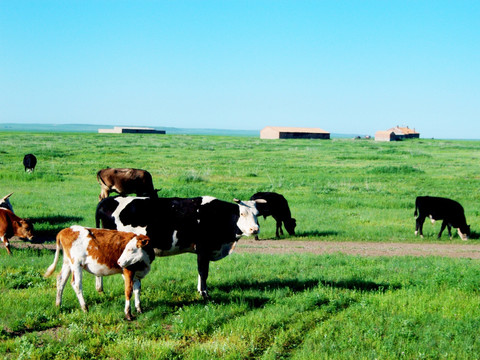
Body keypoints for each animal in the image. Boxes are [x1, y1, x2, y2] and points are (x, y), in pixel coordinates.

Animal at [95, 195, 264, 296]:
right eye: (242, 213)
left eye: (257, 214)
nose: (255, 229)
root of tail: (109, 199)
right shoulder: (203, 248)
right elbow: (203, 272)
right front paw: (204, 294)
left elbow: (201, 272)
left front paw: (200, 290)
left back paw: (100, 289)